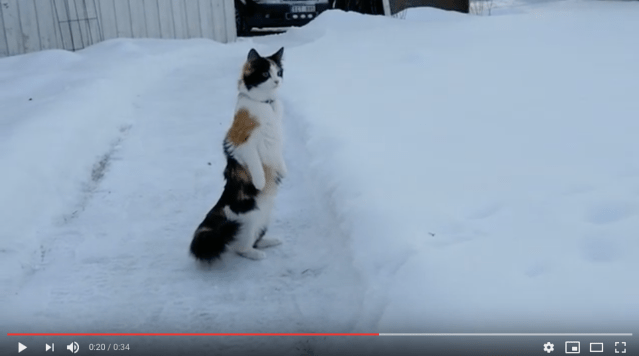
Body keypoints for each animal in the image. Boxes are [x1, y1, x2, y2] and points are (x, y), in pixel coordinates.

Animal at [190, 46, 288, 262]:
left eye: (279, 72)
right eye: (265, 74)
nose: (277, 81)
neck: (267, 103)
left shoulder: (276, 140)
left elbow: (278, 156)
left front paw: (283, 170)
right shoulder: (240, 143)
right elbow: (255, 164)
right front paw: (260, 182)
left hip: (264, 218)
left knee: (255, 239)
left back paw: (271, 241)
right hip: (249, 221)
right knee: (241, 248)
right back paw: (257, 254)